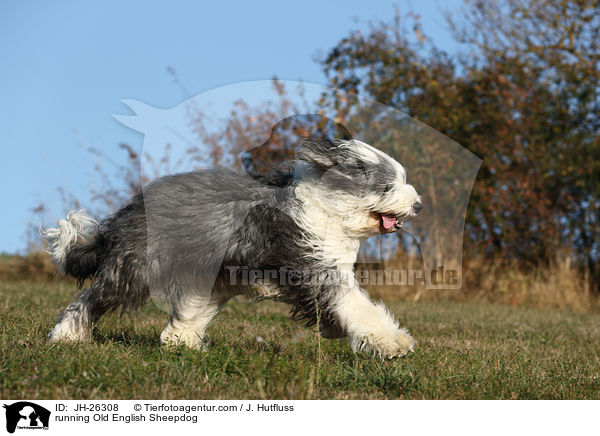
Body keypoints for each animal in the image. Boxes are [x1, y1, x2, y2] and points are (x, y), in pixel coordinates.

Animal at [41, 139, 422, 358]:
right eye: (387, 187)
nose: (417, 205)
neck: (325, 206)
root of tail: (131, 208)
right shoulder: (313, 265)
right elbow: (355, 305)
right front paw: (393, 343)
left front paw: (337, 329)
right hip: (134, 266)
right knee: (88, 299)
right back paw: (66, 337)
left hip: (208, 277)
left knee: (187, 315)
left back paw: (183, 344)